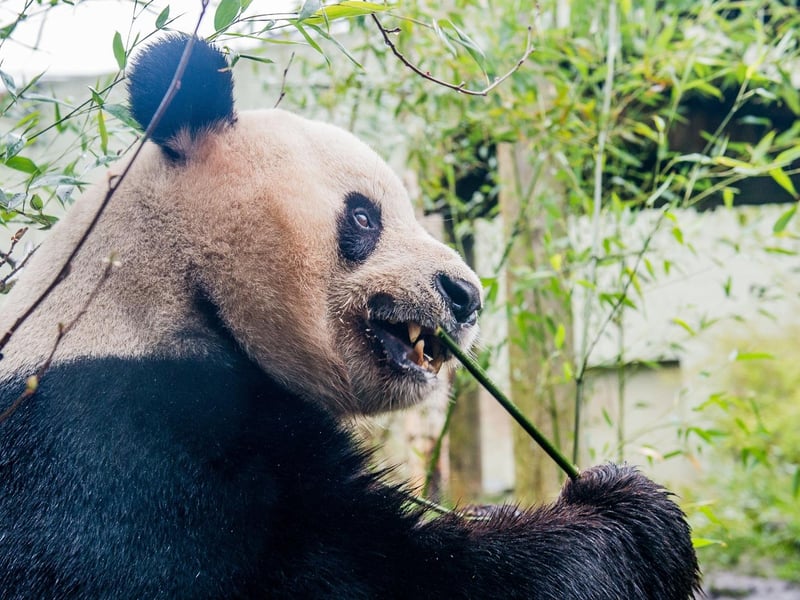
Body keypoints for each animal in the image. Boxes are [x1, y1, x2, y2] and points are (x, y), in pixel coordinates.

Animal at [0, 34, 700, 598]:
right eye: (364, 216)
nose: (466, 296)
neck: (173, 285)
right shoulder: (124, 446)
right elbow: (387, 573)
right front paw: (627, 513)